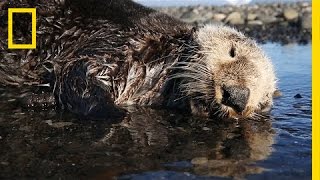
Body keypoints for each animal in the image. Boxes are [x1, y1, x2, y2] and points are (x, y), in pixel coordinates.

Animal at [0, 0, 276, 120]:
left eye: (263, 96)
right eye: (232, 51)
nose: (237, 95)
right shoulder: (119, 41)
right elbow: (76, 69)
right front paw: (112, 112)